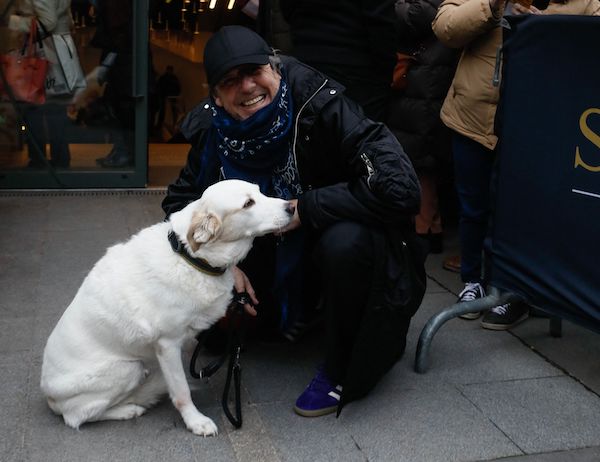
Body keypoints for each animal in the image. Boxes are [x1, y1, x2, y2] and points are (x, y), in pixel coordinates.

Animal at [41, 180, 294, 436]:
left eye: (260, 191)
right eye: (248, 203)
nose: (292, 207)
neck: (190, 258)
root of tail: (50, 398)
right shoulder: (167, 344)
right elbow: (181, 391)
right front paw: (195, 421)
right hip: (127, 369)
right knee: (78, 417)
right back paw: (128, 409)